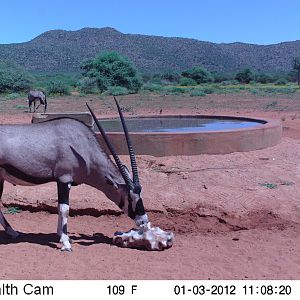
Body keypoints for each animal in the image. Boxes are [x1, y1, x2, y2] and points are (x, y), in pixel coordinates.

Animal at [0, 97, 148, 250]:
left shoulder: (63, 181)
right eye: (129, 197)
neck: (83, 146)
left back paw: (12, 232)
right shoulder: (64, 179)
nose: (143, 221)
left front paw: (61, 236)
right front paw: (65, 243)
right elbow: (65, 209)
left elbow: (60, 207)